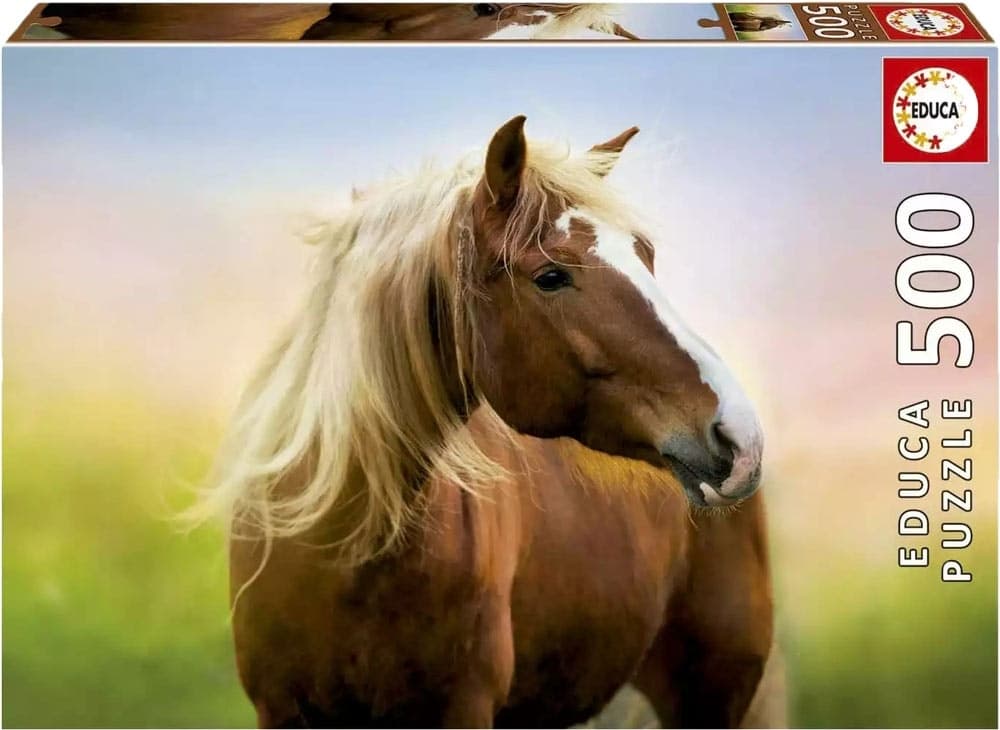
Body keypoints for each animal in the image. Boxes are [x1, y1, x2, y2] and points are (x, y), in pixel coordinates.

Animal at [206, 116, 773, 728]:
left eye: (644, 255)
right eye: (550, 276)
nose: (739, 435)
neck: (347, 552)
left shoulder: (463, 707)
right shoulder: (280, 708)